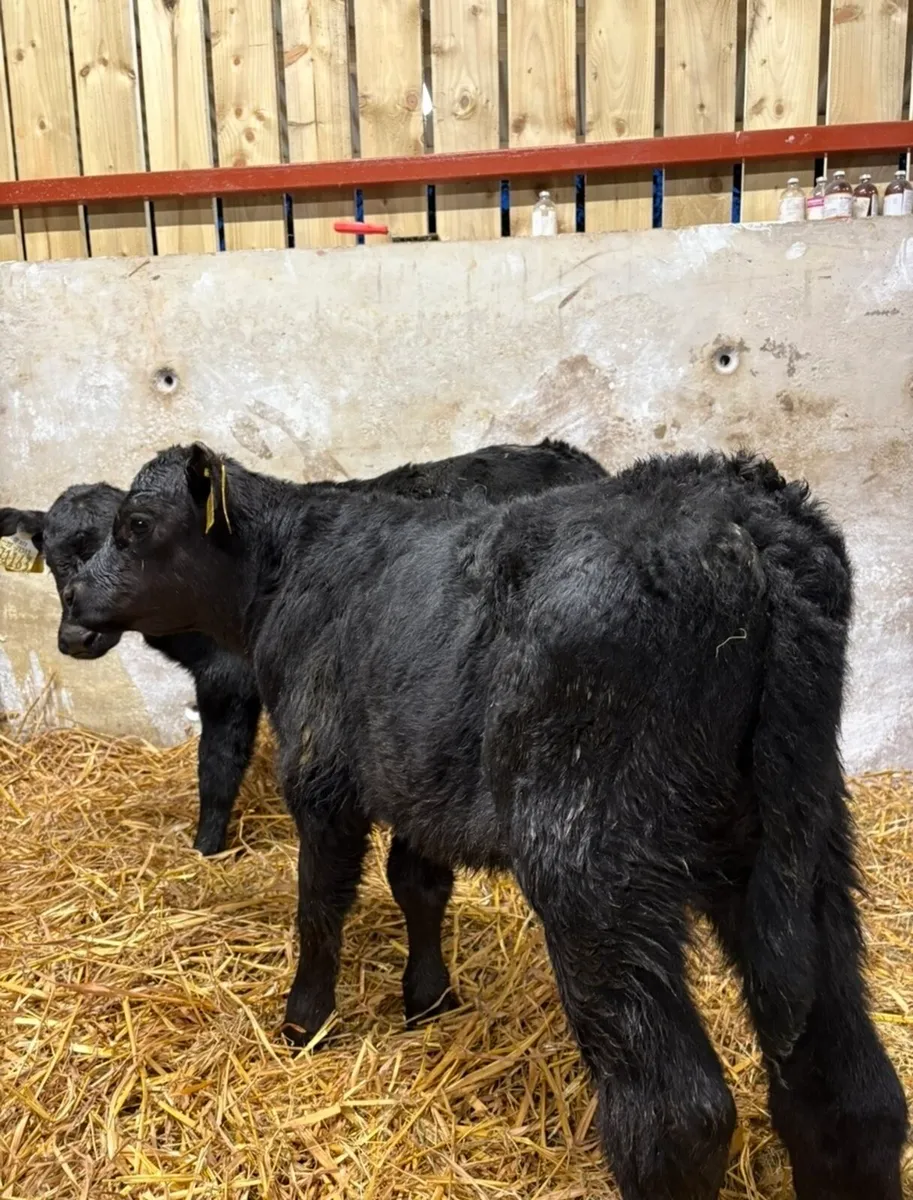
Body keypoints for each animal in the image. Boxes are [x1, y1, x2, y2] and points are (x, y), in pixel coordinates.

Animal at [65, 443, 907, 1200]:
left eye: (135, 526)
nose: (72, 611)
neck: (285, 570)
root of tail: (748, 520)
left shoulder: (322, 772)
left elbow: (320, 907)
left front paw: (303, 1024)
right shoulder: (416, 775)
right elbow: (417, 884)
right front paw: (427, 1001)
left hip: (590, 856)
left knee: (678, 1115)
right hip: (797, 841)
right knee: (852, 1090)